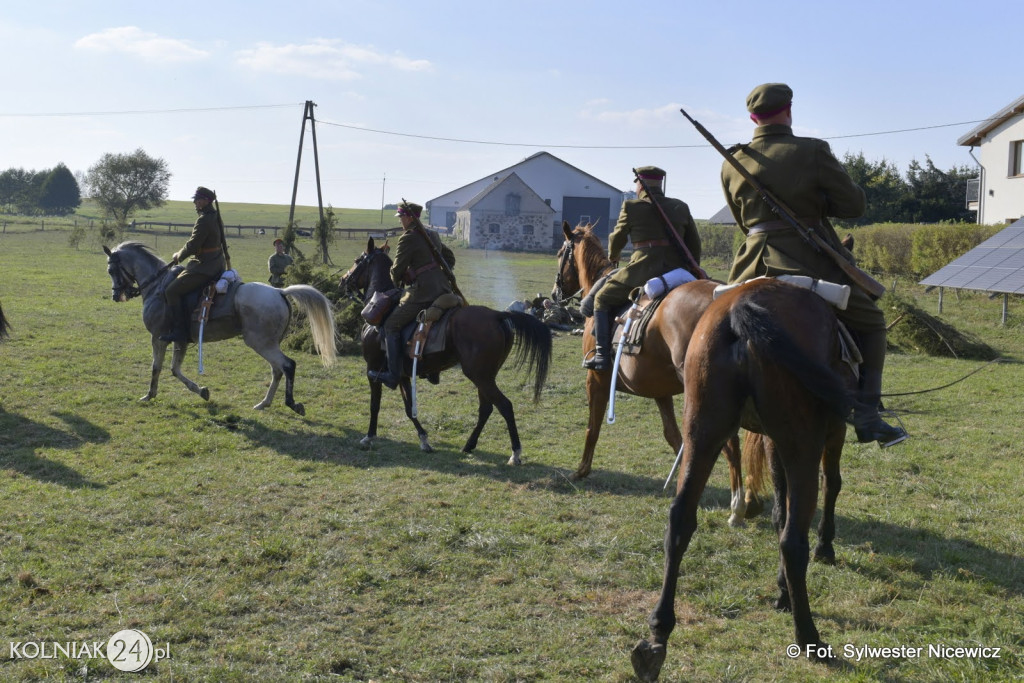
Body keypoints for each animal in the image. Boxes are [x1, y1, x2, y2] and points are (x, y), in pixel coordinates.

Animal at [103, 242, 335, 413]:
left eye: (111, 269)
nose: (116, 295)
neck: (158, 286)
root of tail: (280, 292)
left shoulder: (158, 338)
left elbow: (157, 367)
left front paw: (149, 395)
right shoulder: (180, 340)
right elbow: (175, 370)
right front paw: (202, 391)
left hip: (261, 343)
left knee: (287, 365)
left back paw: (292, 404)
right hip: (268, 344)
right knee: (277, 370)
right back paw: (264, 403)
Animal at [339, 236, 552, 464]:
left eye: (358, 260)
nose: (343, 280)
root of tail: (497, 315)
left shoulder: (373, 368)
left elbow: (375, 405)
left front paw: (369, 437)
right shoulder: (401, 374)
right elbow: (409, 408)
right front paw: (424, 440)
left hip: (479, 376)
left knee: (505, 406)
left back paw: (515, 453)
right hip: (485, 377)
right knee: (486, 408)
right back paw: (469, 445)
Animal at [552, 222, 761, 520]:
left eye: (561, 253)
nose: (555, 293)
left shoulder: (596, 380)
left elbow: (592, 427)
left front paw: (581, 471)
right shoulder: (661, 392)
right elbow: (674, 437)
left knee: (729, 442)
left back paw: (737, 505)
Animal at [630, 278, 856, 683]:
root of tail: (741, 311)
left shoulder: (771, 442)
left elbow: (779, 509)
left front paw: (783, 591)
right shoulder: (828, 435)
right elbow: (829, 486)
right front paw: (823, 550)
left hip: (703, 435)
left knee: (680, 520)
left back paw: (657, 635)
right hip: (802, 445)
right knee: (792, 540)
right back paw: (809, 636)